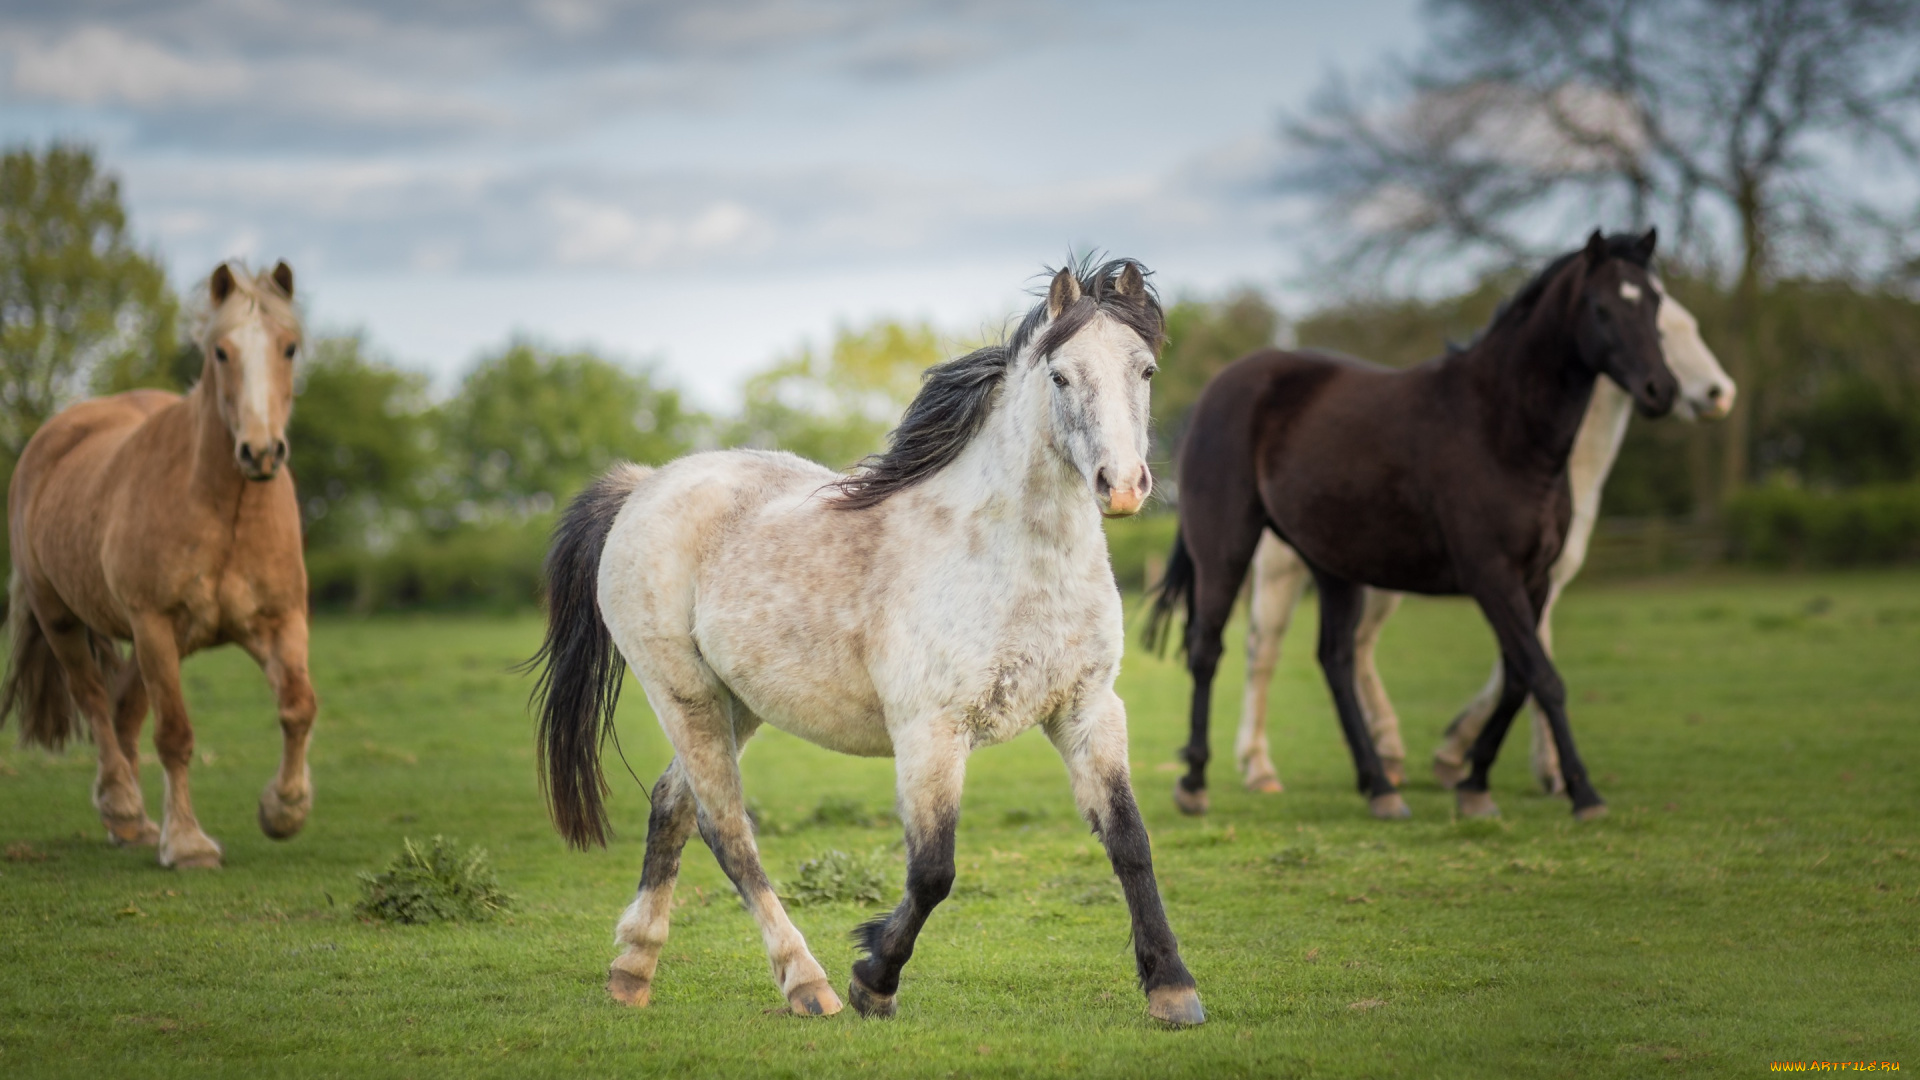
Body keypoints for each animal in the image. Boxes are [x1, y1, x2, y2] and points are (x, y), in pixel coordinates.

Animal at [1, 261, 314, 864]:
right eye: (221, 352)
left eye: (289, 347)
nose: (260, 452)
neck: (227, 513)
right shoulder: (153, 623)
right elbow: (174, 735)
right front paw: (188, 844)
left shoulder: (281, 622)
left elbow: (297, 707)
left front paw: (283, 810)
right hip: (68, 621)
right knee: (94, 699)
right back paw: (123, 806)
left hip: (165, 641)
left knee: (123, 706)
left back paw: (133, 823)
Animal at [529, 255, 1198, 1022]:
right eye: (1060, 376)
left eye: (1145, 370)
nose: (1122, 486)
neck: (1017, 563)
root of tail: (645, 486)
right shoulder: (931, 731)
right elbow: (933, 871)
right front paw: (873, 979)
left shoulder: (1087, 711)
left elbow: (1130, 842)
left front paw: (1173, 987)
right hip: (684, 694)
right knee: (726, 830)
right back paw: (807, 983)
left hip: (739, 703)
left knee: (673, 806)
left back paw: (633, 969)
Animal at [1144, 226, 1674, 814]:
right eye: (1602, 307)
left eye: (1654, 302)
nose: (1662, 390)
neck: (1503, 429)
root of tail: (1217, 390)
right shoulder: (1493, 578)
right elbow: (1543, 677)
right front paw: (1582, 792)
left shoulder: (1534, 581)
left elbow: (1518, 680)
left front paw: (1474, 782)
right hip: (1226, 550)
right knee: (1207, 650)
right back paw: (1195, 783)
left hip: (1332, 566)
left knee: (1335, 661)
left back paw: (1378, 785)